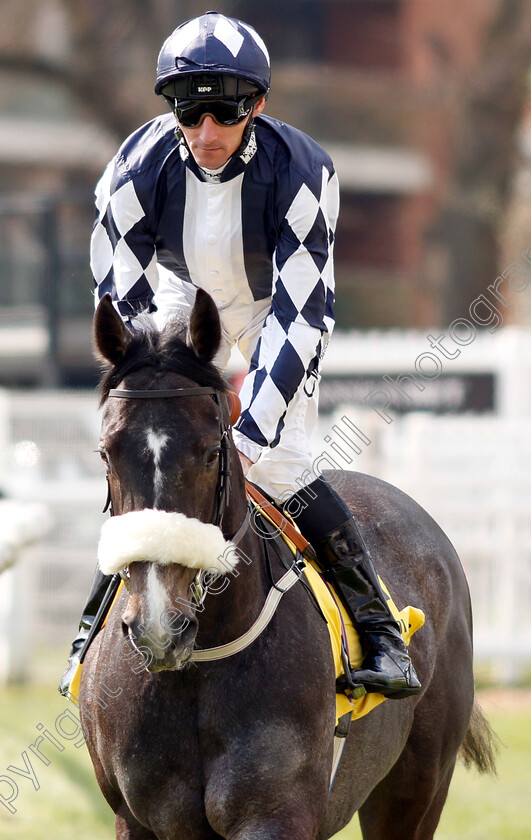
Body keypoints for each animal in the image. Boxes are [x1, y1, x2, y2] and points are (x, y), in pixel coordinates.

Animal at [80, 290, 498, 840]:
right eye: (106, 453)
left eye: (211, 451)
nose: (158, 625)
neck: (198, 667)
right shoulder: (136, 820)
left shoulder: (276, 814)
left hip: (417, 786)